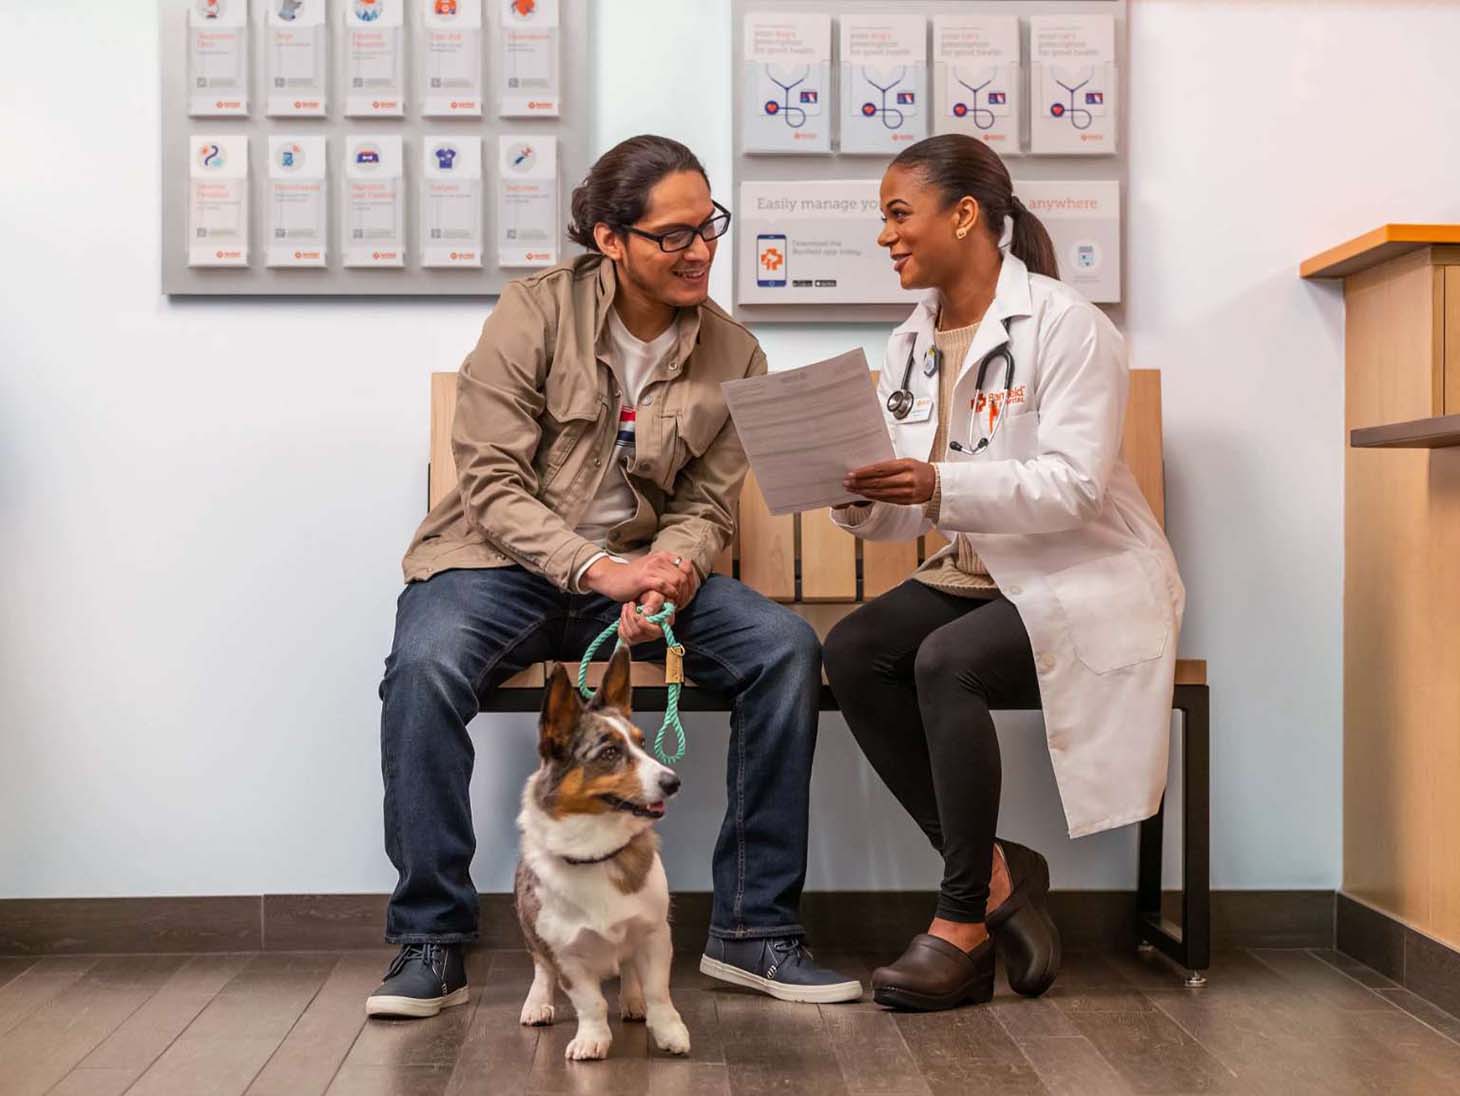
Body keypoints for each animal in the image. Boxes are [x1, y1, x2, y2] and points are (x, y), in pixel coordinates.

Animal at [516, 647, 692, 1056]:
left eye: (643, 743)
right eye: (610, 752)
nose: (673, 782)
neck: (596, 851)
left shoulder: (655, 935)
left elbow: (659, 992)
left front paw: (670, 1033)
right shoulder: (566, 956)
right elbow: (590, 1002)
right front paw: (591, 1041)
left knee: (628, 970)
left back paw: (633, 1001)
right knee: (540, 969)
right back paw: (537, 1003)